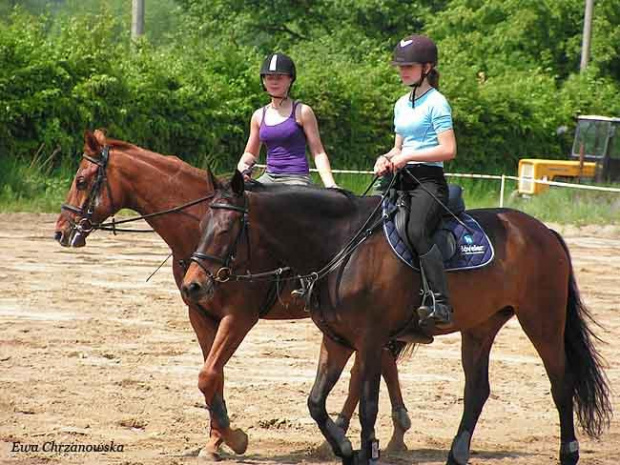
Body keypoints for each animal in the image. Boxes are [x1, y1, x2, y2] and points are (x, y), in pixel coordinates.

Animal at [52, 130, 412, 456]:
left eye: (81, 181)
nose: (60, 231)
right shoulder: (200, 315)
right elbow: (214, 377)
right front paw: (215, 441)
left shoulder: (239, 316)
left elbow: (209, 375)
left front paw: (234, 438)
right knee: (377, 364)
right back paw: (380, 432)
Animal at [182, 170, 612, 464]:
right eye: (201, 224)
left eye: (226, 228)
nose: (193, 286)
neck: (340, 246)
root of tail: (544, 232)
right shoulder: (337, 340)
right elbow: (317, 402)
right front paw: (345, 448)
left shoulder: (371, 340)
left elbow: (368, 404)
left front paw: (365, 451)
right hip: (480, 327)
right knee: (477, 389)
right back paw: (457, 454)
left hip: (542, 319)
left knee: (561, 382)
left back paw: (569, 451)